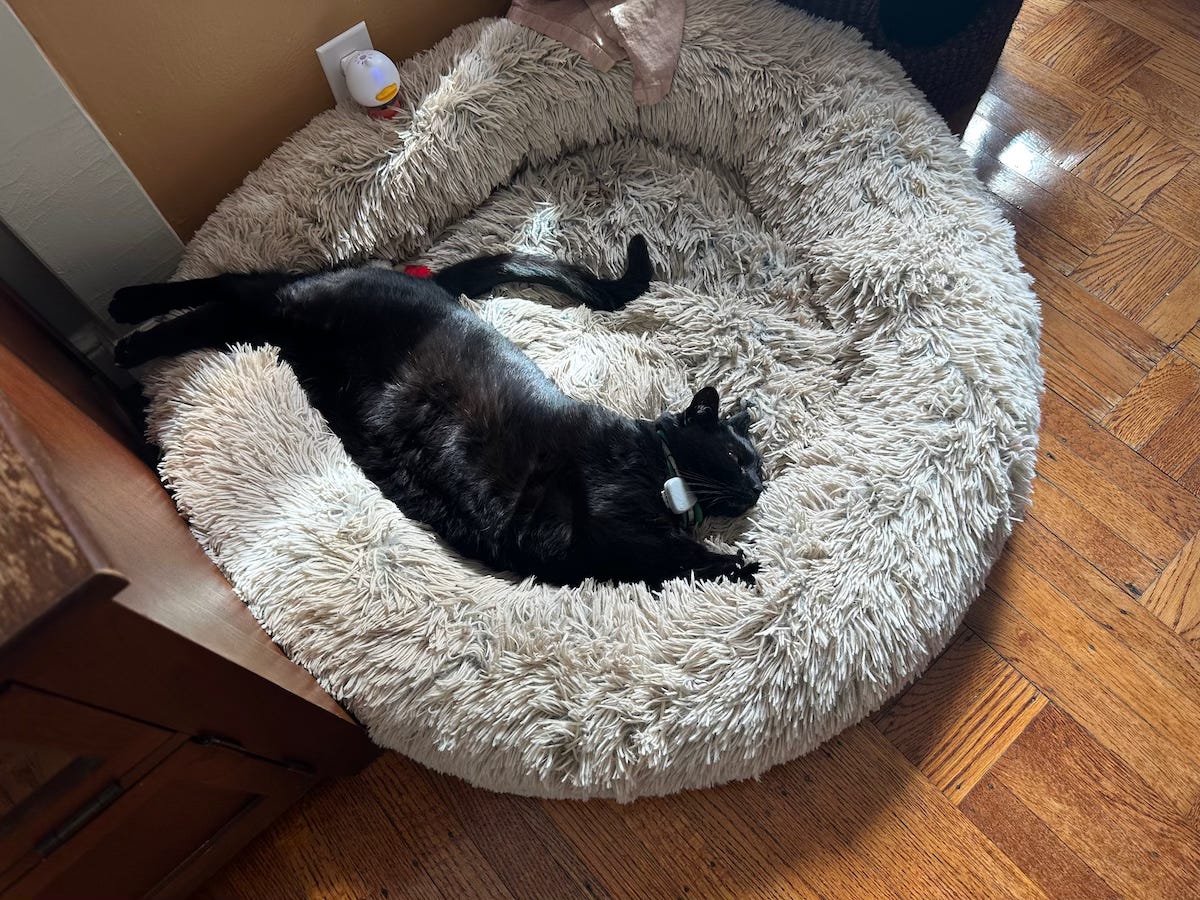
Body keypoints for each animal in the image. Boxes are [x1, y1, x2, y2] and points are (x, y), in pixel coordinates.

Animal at [110, 236, 764, 587]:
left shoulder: (600, 559)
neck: (660, 468)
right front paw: (747, 567)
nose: (758, 487)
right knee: (231, 288)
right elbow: (675, 555)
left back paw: (130, 323)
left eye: (760, 469)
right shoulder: (607, 523)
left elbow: (671, 564)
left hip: (280, 329)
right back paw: (129, 324)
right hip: (294, 306)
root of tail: (428, 281)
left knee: (229, 300)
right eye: (738, 458)